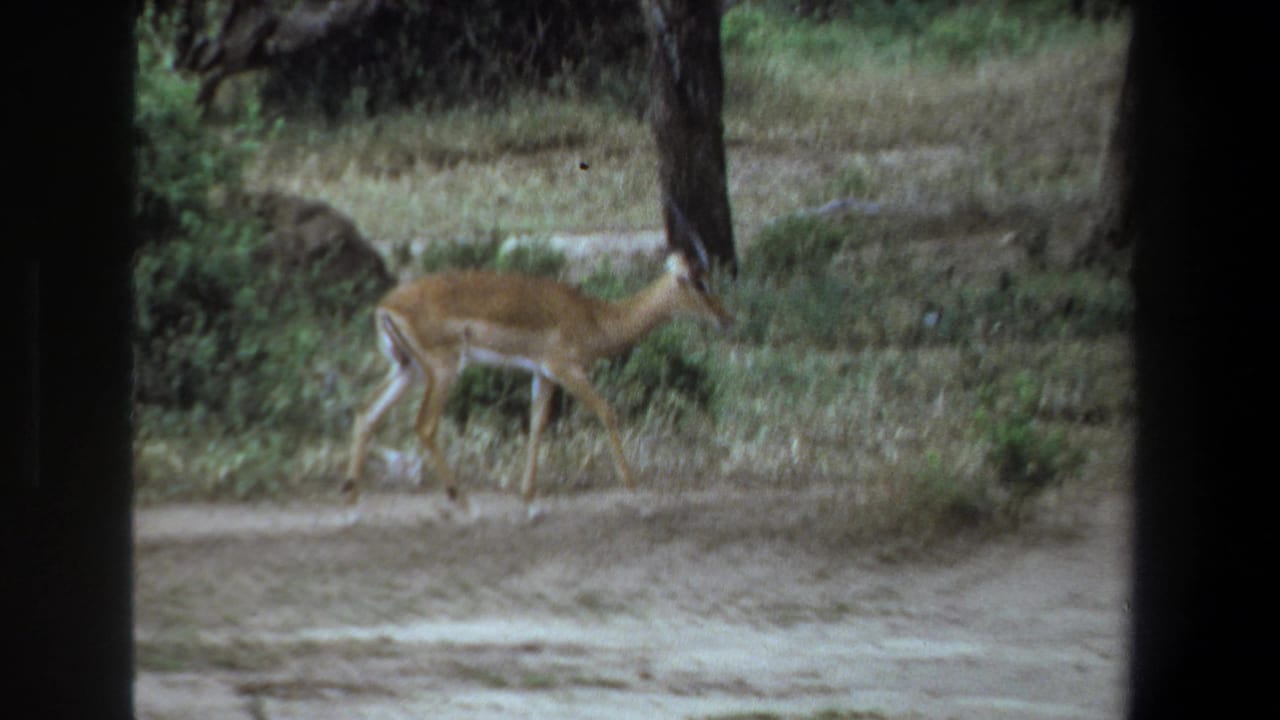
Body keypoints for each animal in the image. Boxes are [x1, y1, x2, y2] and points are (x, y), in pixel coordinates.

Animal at [342, 242, 734, 507]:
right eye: (700, 282)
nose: (725, 318)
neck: (595, 317)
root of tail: (385, 306)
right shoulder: (567, 369)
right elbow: (607, 411)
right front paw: (632, 485)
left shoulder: (543, 374)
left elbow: (537, 423)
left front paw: (527, 493)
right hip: (442, 370)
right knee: (424, 426)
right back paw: (461, 500)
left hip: (407, 370)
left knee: (366, 412)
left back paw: (352, 501)